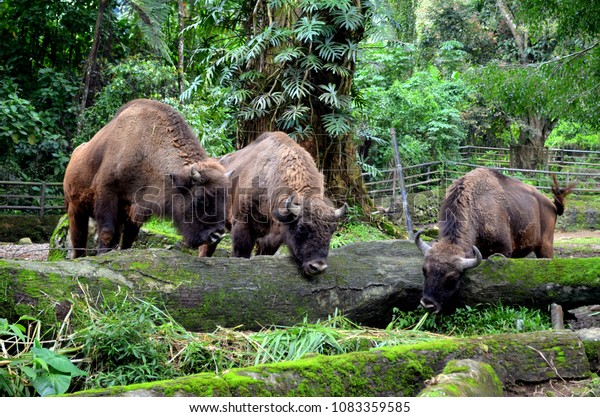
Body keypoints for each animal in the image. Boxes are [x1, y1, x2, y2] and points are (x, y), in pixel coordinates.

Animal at [63, 99, 231, 258]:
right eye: (200, 198)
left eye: (225, 198)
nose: (217, 234)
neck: (145, 149)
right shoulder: (107, 196)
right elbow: (106, 233)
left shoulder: (137, 209)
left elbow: (128, 238)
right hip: (75, 208)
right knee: (78, 238)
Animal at [199, 132, 344, 274]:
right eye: (301, 228)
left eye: (332, 230)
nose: (318, 266)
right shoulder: (242, 226)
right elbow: (241, 254)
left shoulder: (273, 239)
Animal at [414, 167, 576, 312]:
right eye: (424, 270)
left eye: (452, 278)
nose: (427, 304)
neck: (475, 206)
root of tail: (552, 205)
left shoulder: (502, 250)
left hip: (545, 246)